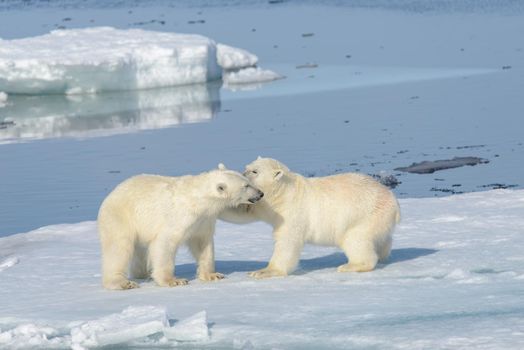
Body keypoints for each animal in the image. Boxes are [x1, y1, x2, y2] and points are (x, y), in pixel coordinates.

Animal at [96, 165, 264, 292]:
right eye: (246, 186)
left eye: (248, 181)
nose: (261, 193)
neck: (199, 200)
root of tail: (111, 195)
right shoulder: (179, 217)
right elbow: (165, 243)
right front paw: (173, 281)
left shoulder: (204, 219)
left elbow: (202, 244)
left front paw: (212, 275)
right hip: (120, 217)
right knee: (119, 248)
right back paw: (122, 282)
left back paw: (143, 273)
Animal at [219, 157, 400, 278]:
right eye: (247, 167)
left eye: (255, 171)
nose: (242, 174)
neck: (283, 192)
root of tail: (393, 201)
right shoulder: (264, 203)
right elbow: (244, 212)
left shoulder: (292, 210)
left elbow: (287, 241)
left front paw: (264, 271)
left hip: (364, 216)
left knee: (355, 239)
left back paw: (350, 266)